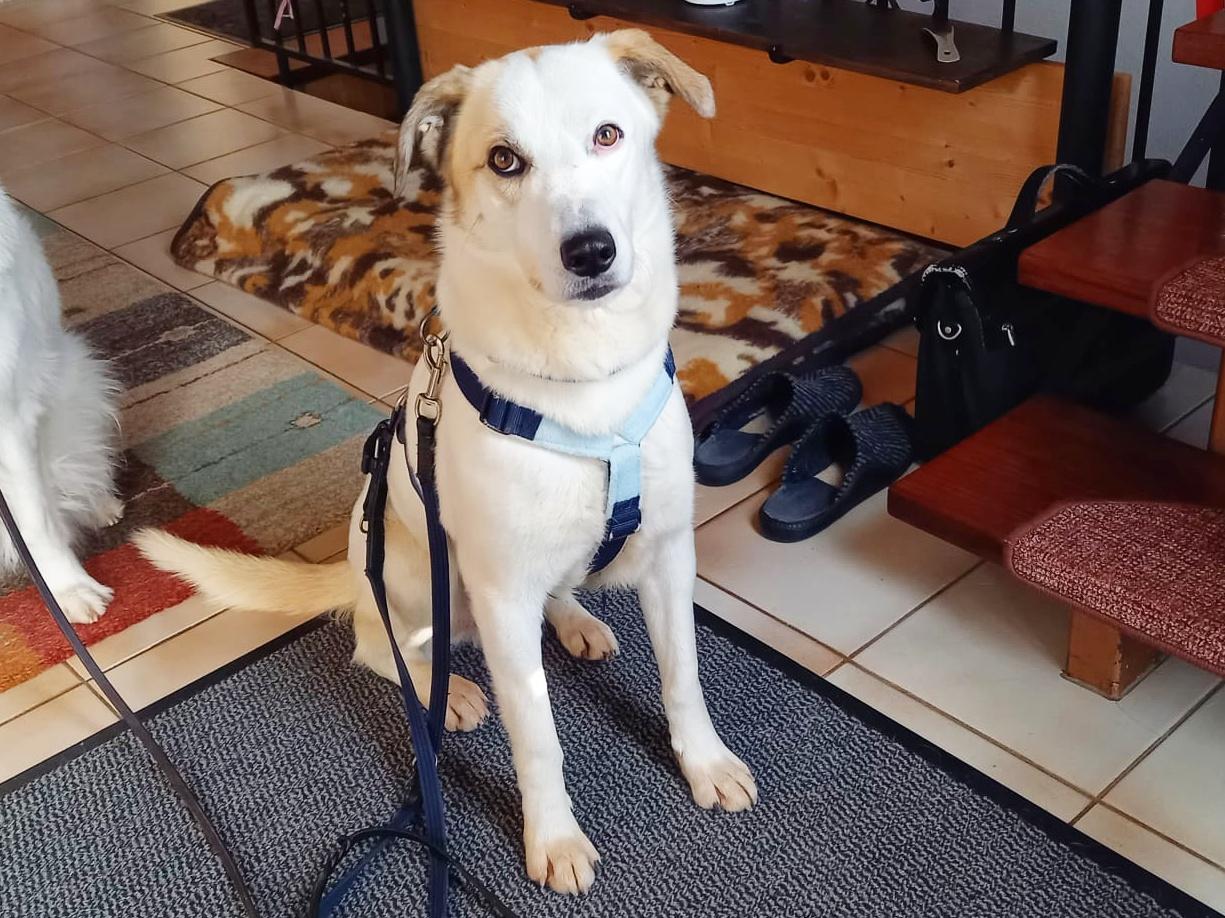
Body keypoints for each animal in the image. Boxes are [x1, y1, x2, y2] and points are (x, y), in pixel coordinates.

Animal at [137, 30, 757, 894]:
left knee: (549, 595)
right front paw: (553, 838)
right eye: (503, 160)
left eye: (608, 135)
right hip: (413, 571)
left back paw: (576, 621)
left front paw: (703, 763)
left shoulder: (669, 555)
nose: (589, 251)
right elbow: (537, 737)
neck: (584, 378)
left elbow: (684, 679)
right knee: (384, 646)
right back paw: (451, 692)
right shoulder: (500, 597)